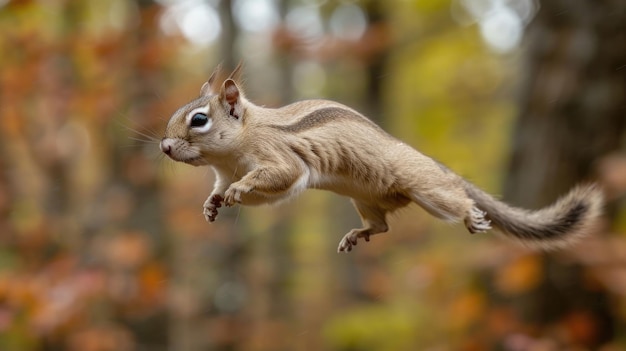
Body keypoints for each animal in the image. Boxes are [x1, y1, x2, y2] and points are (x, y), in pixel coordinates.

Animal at [158, 64, 604, 253]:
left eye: (199, 119)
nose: (164, 147)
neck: (232, 153)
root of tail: (437, 168)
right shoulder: (221, 172)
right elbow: (223, 190)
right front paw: (213, 204)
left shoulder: (280, 157)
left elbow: (278, 178)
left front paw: (240, 189)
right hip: (365, 200)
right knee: (383, 227)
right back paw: (357, 235)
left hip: (430, 191)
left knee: (455, 200)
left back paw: (471, 215)